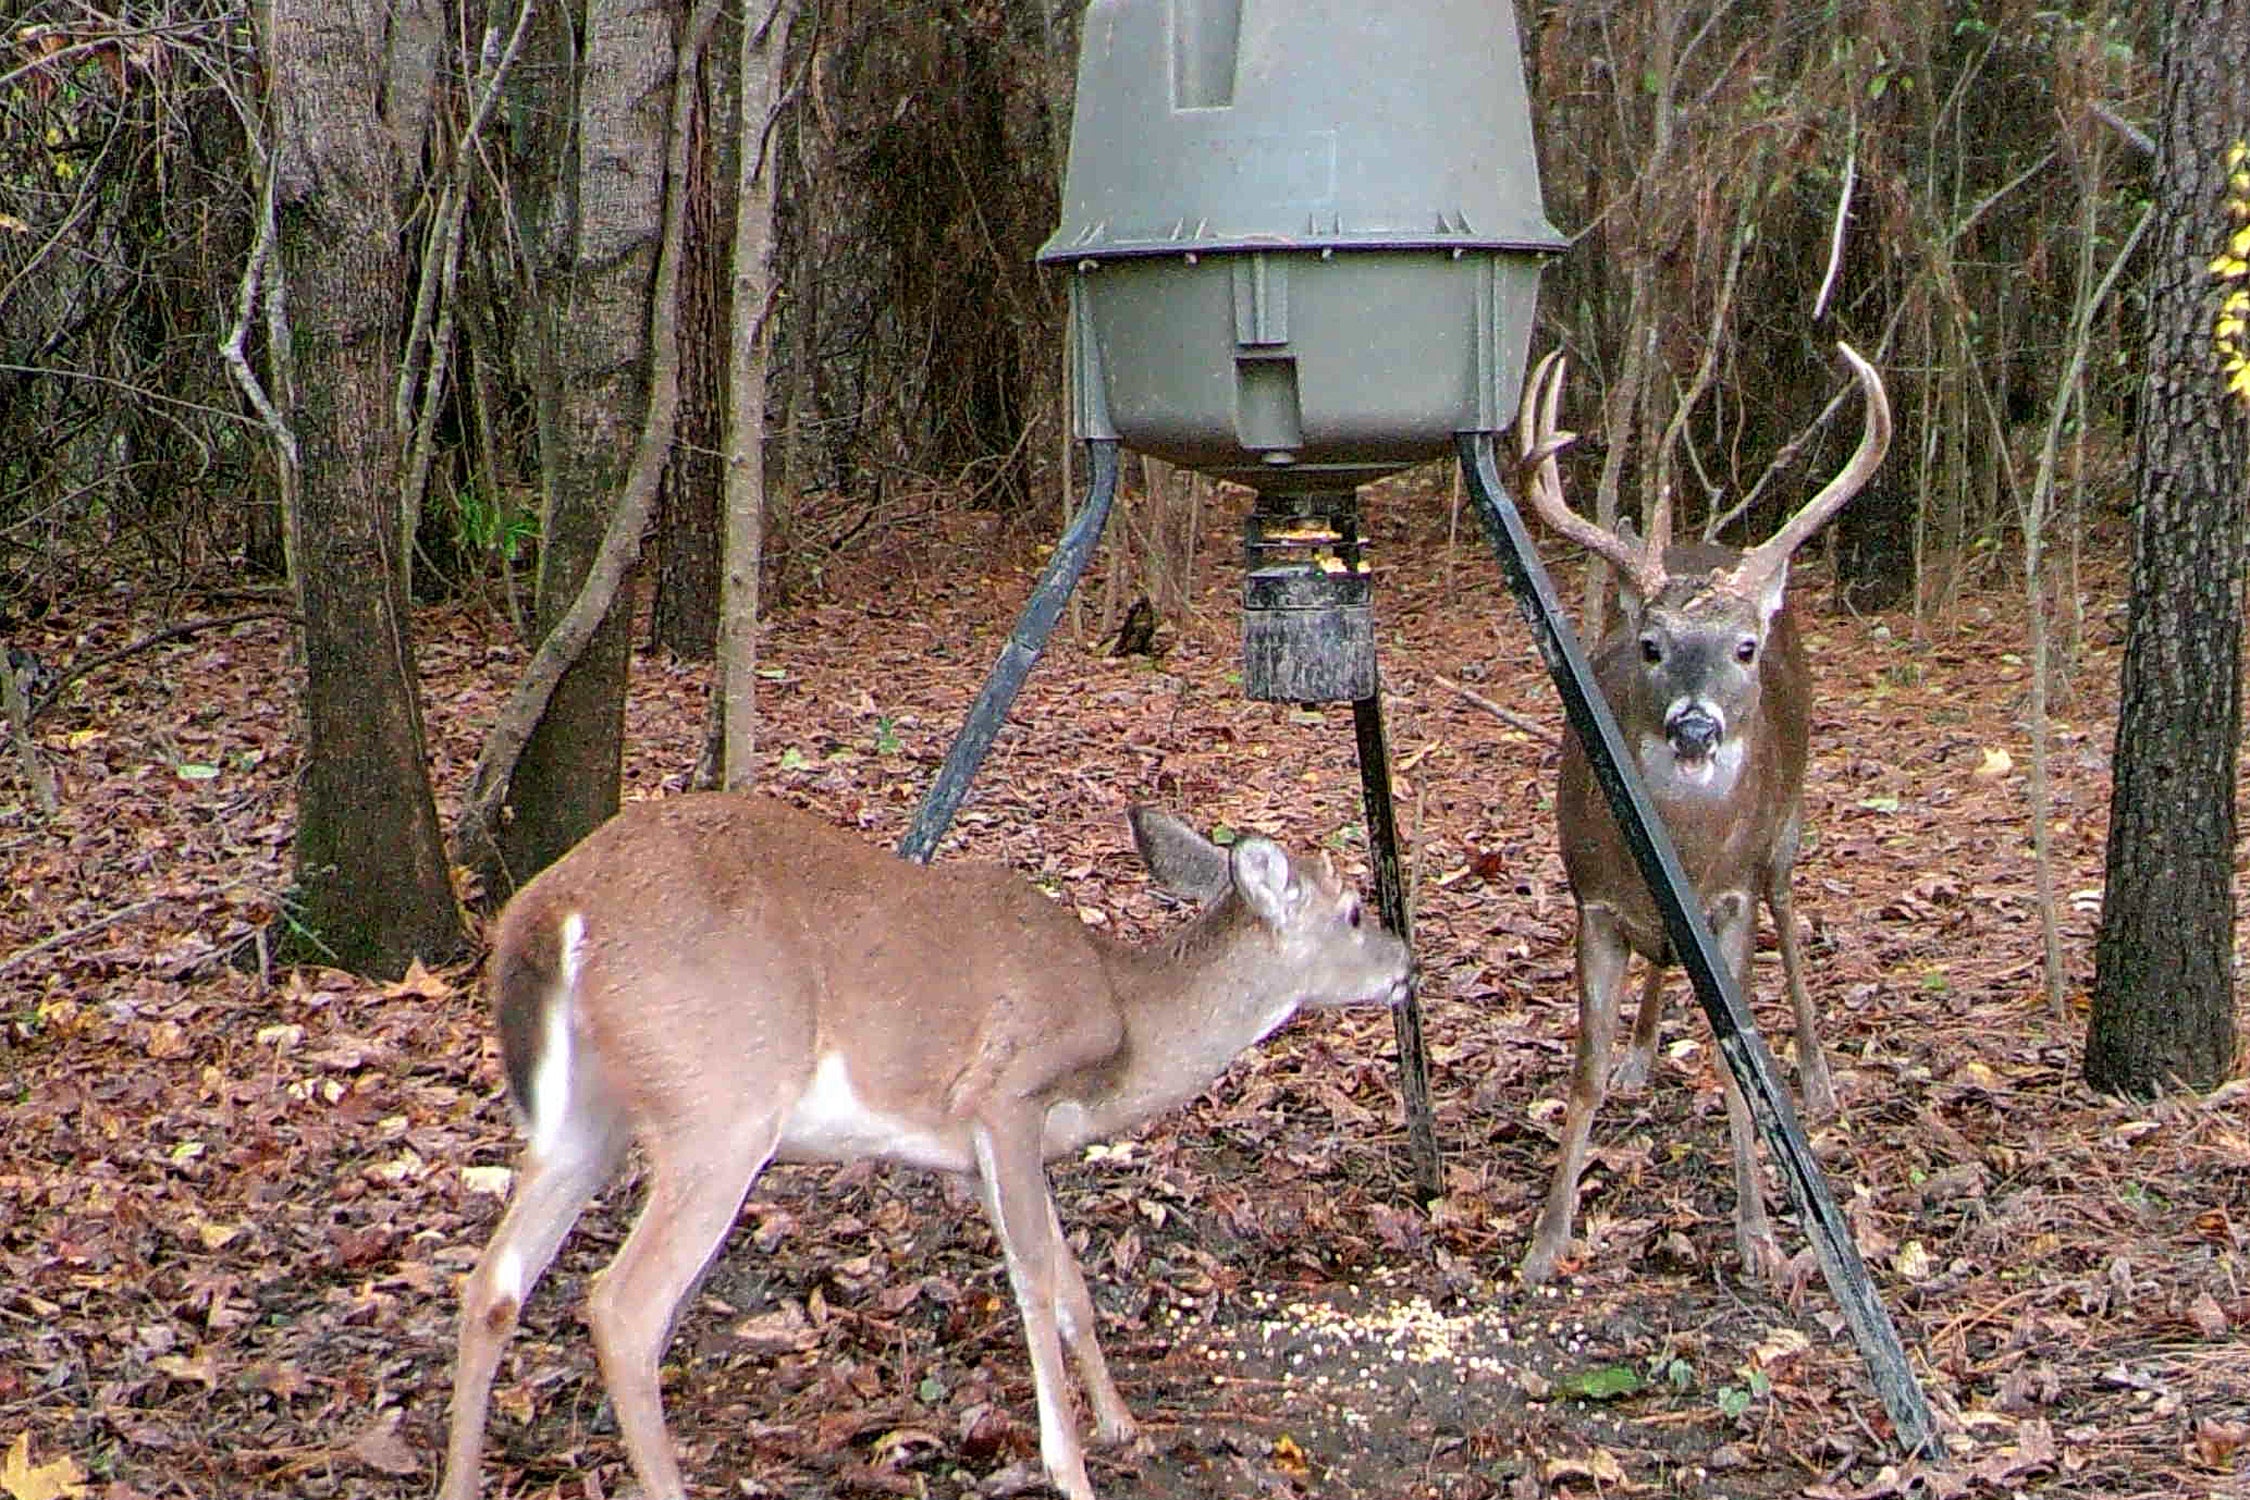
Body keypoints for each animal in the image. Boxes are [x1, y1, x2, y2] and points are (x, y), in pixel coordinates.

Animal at [439, 792, 1413, 1500]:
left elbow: (1070, 1283)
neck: (1126, 1021)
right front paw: (1071, 1467)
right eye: (1354, 909)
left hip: (585, 1122)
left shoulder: (987, 1151)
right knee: (623, 1306)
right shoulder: (1007, 1097)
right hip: (720, 1106)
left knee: (493, 1283)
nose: (1407, 962)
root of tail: (553, 909)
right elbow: (1034, 1284)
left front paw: (1122, 1424)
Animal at [1512, 342, 1890, 1286]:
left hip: (1786, 829)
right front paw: (1546, 1239)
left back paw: (1819, 1076)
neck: (1684, 849)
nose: (1694, 725)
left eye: (1743, 648)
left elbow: (1737, 1056)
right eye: (1651, 647)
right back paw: (1645, 1053)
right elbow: (1583, 1067)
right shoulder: (1593, 898)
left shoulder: (1729, 898)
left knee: (1792, 913)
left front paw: (1758, 1235)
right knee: (1663, 968)